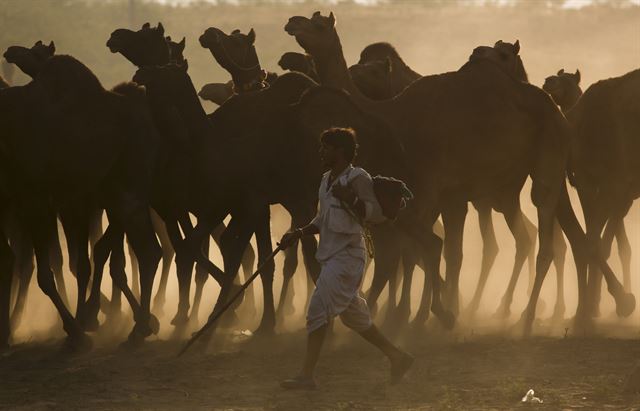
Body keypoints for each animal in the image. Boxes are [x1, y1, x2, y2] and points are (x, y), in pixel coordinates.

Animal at [286, 12, 636, 334]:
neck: (393, 117)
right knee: (574, 237)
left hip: (548, 160)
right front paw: (428, 314)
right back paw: (596, 311)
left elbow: (414, 251)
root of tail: (560, 113)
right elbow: (445, 252)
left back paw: (529, 319)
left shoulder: (428, 188)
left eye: (318, 24)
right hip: (543, 171)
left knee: (548, 239)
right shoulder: (449, 195)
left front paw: (415, 316)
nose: (292, 22)